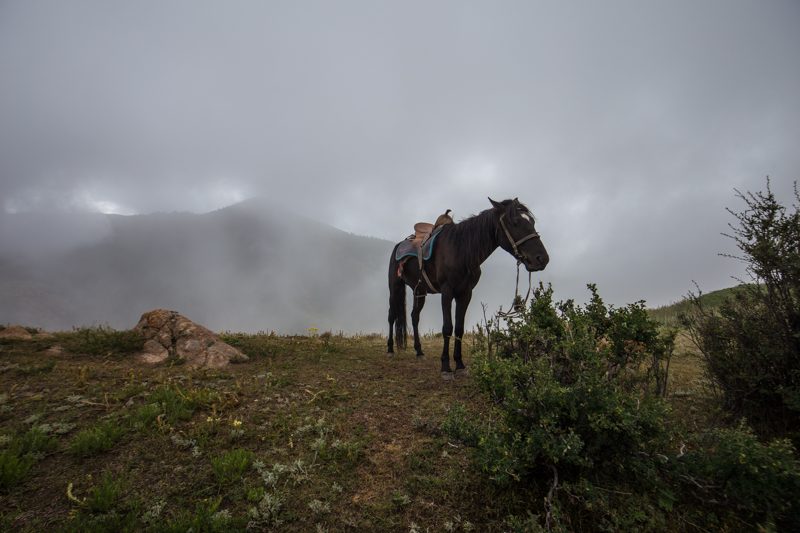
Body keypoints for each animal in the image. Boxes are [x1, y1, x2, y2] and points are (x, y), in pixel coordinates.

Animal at [388, 197, 552, 376]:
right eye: (515, 222)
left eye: (532, 222)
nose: (542, 259)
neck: (460, 251)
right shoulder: (447, 292)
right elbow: (447, 327)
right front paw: (445, 367)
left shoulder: (465, 294)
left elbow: (459, 328)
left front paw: (459, 365)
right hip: (395, 287)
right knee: (392, 316)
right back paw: (390, 349)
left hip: (420, 291)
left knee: (414, 316)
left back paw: (419, 351)